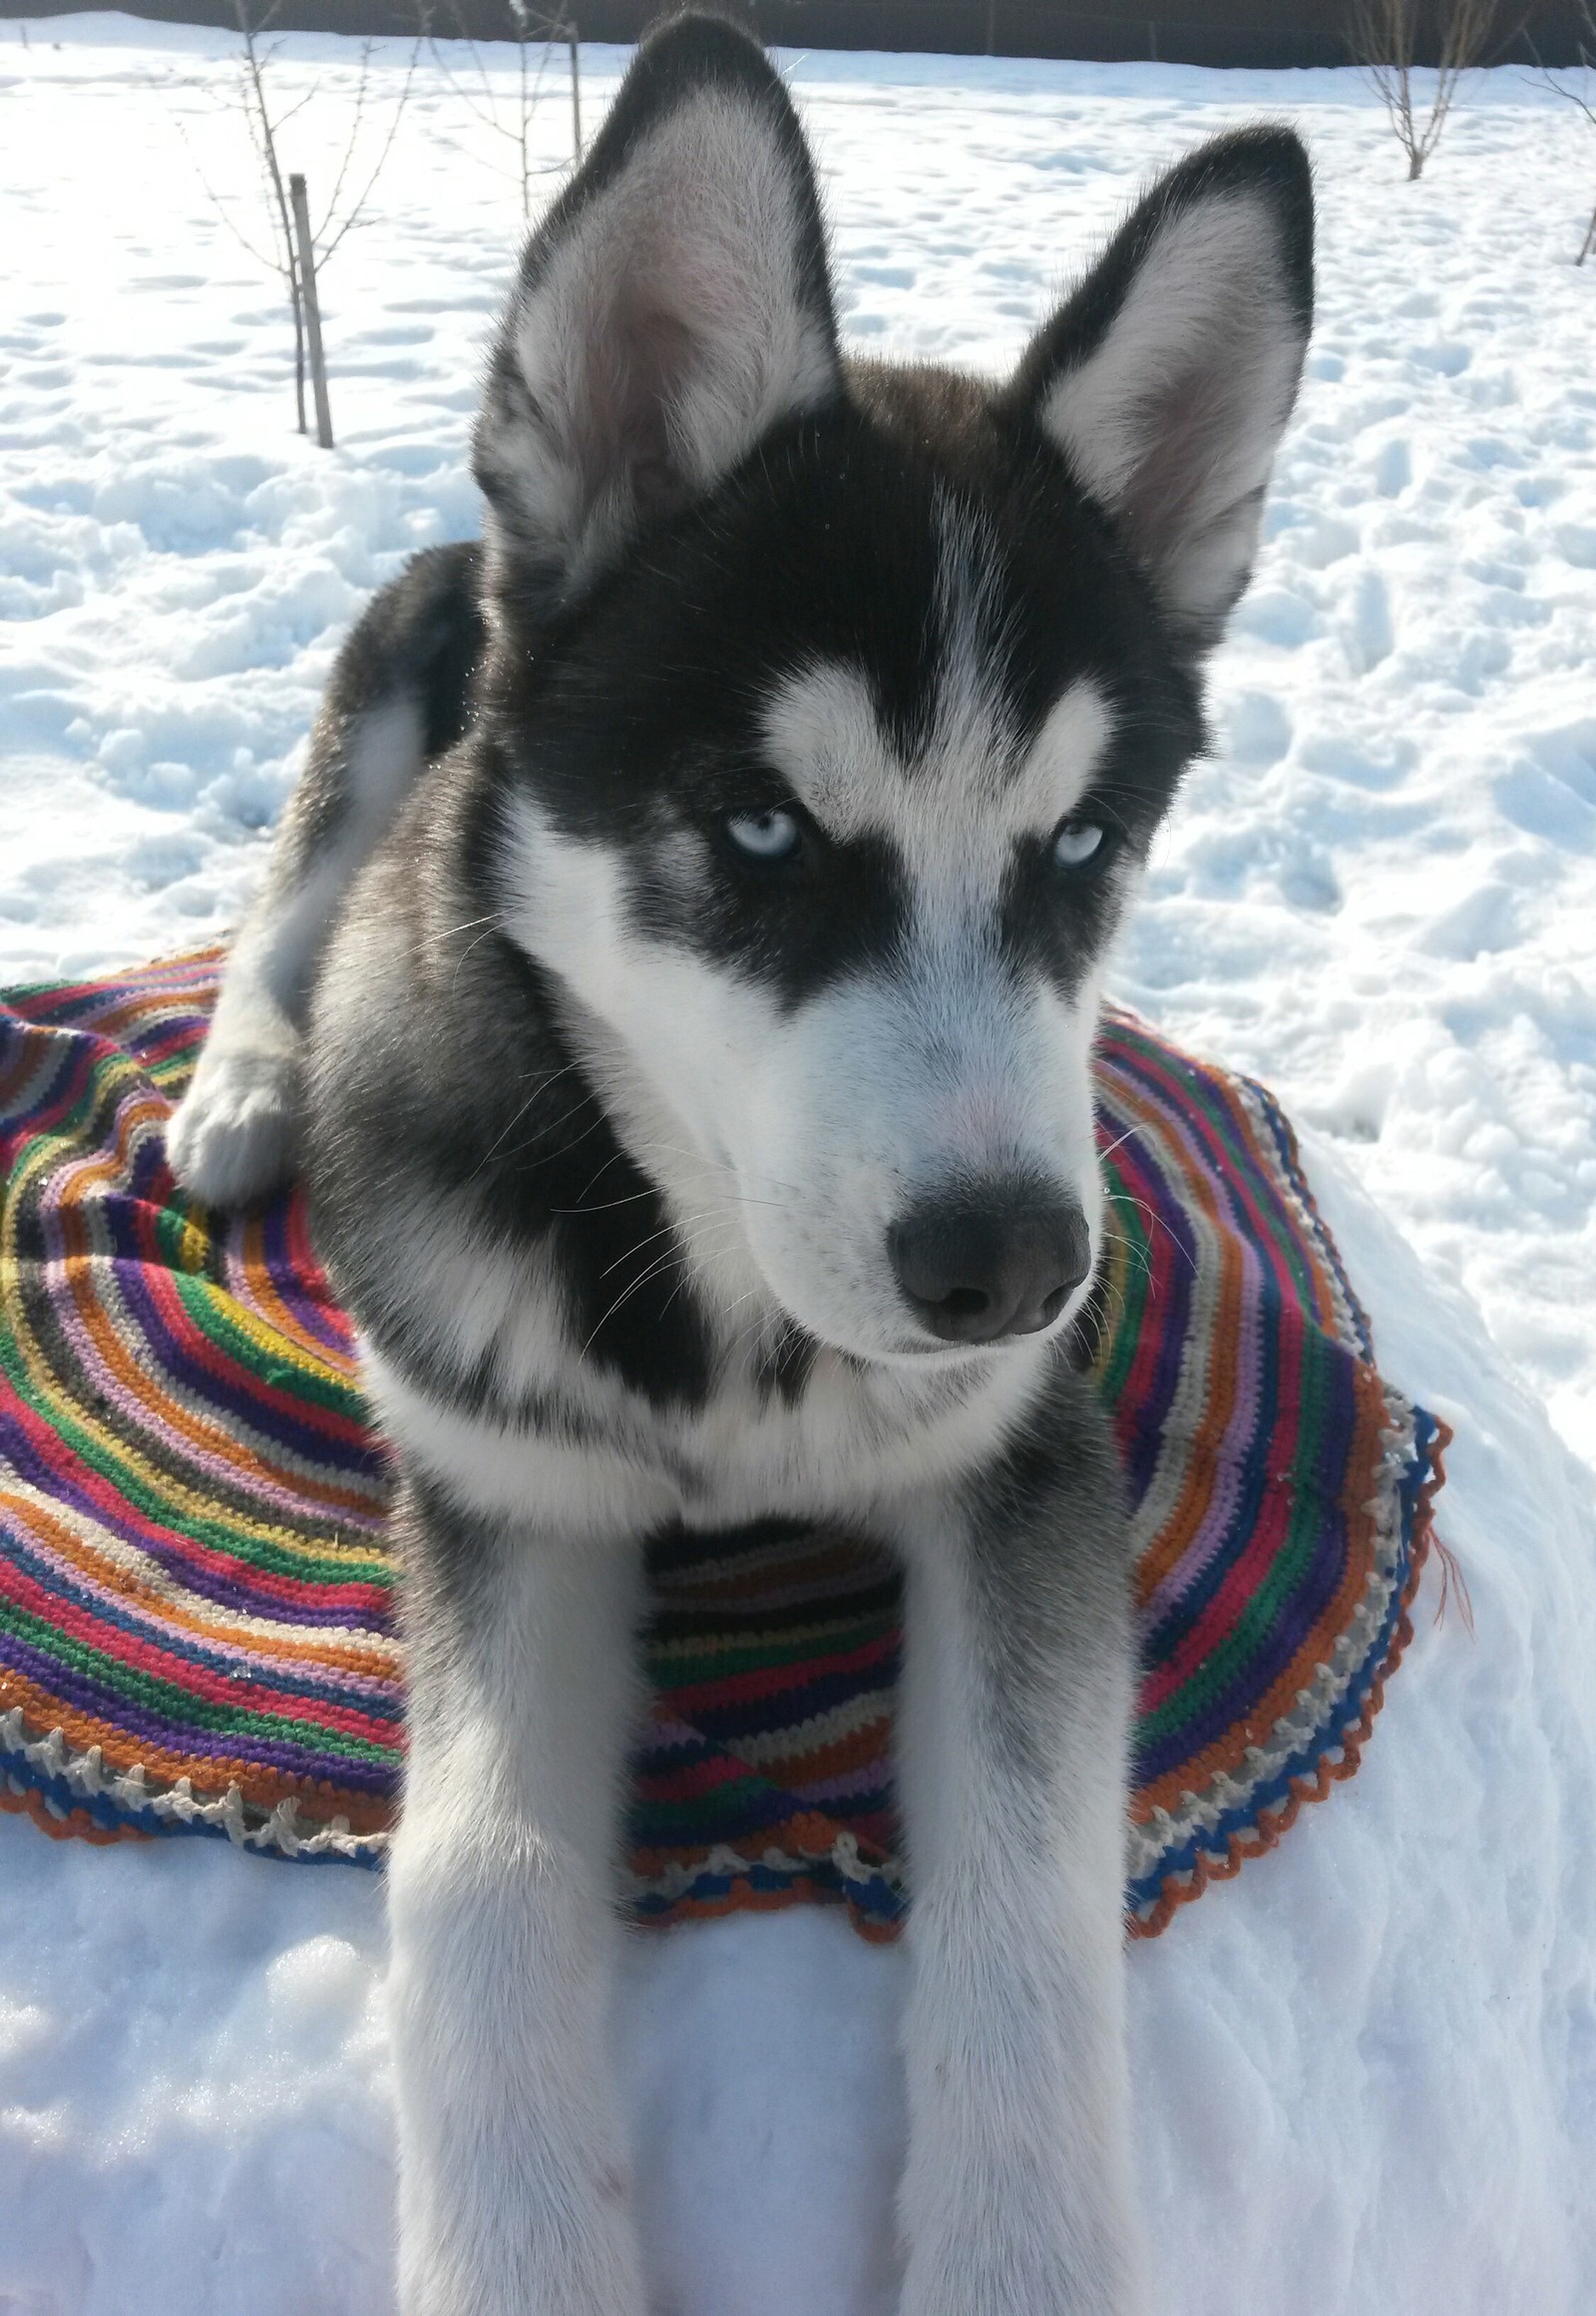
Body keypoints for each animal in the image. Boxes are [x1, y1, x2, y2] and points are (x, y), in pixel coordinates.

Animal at [164, 22, 1306, 2316]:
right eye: (761, 829)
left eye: (1083, 844)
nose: (1003, 1264)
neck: (716, 1312)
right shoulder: (498, 1482)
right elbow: (473, 1870)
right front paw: (512, 2257)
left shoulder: (1022, 1461)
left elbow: (1028, 1877)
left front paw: (1019, 2253)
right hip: (398, 679)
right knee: (294, 901)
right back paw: (245, 1084)